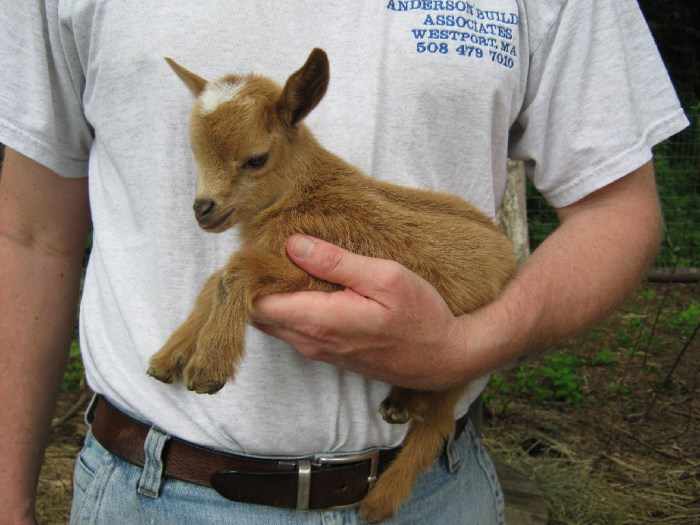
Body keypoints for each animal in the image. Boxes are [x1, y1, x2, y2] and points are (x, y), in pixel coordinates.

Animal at [148, 48, 516, 520]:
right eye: (195, 152)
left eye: (256, 158)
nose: (203, 210)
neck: (303, 193)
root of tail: (509, 256)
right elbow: (215, 280)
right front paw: (169, 358)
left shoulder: (316, 269)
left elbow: (234, 271)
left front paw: (209, 366)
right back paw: (398, 405)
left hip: (460, 354)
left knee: (439, 419)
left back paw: (379, 501)